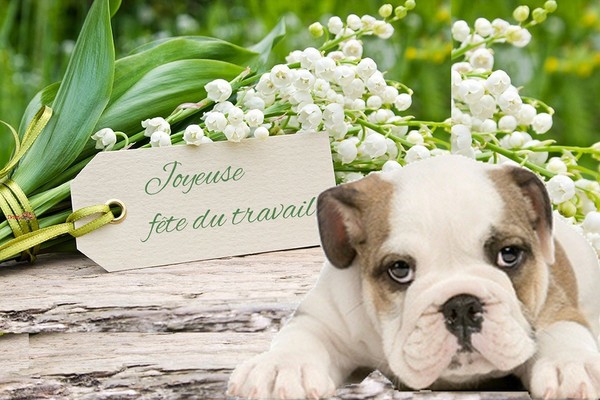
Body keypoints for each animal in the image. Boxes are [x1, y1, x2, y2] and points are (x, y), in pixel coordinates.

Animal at [226, 155, 600, 400]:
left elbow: (564, 333)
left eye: (509, 254)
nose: (461, 305)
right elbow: (303, 337)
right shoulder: (327, 319)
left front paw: (574, 366)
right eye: (400, 269)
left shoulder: (556, 307)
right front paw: (279, 368)